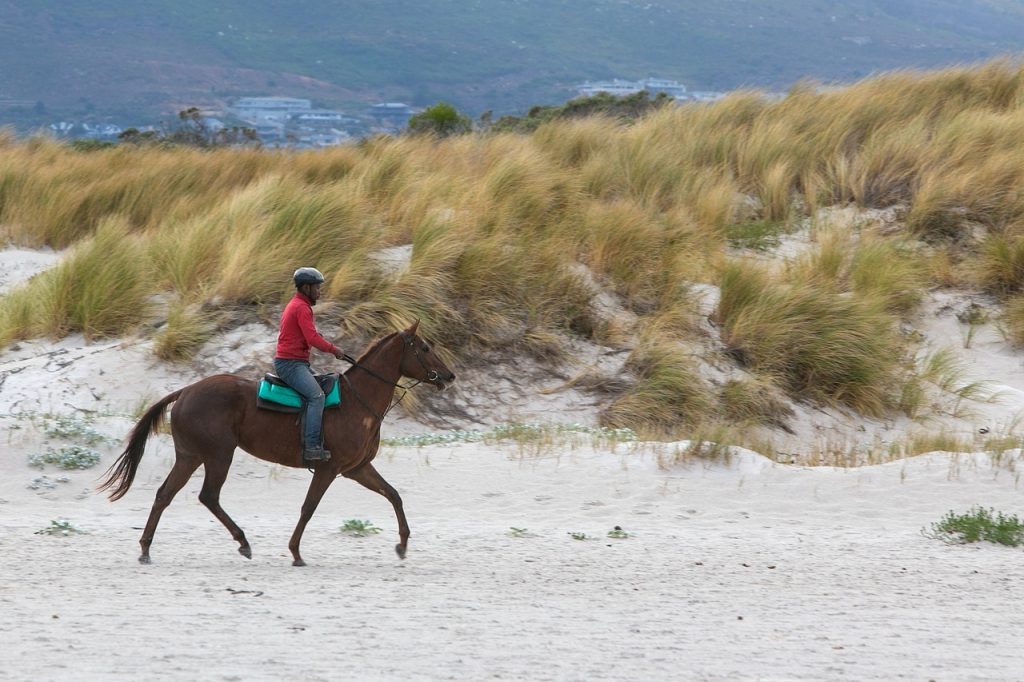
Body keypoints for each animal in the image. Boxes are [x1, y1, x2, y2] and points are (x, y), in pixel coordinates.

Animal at [97, 321, 458, 565]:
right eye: (425, 348)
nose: (450, 376)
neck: (358, 402)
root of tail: (185, 390)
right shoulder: (328, 469)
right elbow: (309, 507)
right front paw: (296, 552)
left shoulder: (358, 469)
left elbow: (393, 495)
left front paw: (403, 544)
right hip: (218, 455)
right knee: (208, 496)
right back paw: (242, 541)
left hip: (190, 456)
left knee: (164, 495)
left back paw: (146, 548)